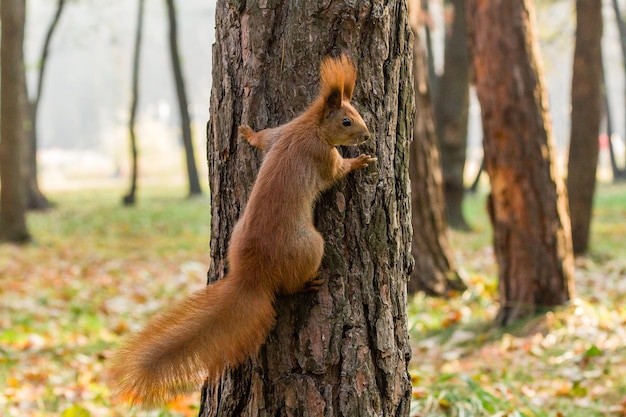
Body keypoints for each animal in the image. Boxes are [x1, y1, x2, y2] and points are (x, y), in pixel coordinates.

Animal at [106, 52, 376, 406]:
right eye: (346, 121)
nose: (367, 135)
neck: (308, 127)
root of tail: (252, 275)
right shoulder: (322, 157)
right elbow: (336, 172)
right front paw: (359, 162)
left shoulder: (280, 132)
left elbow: (264, 138)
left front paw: (247, 132)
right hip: (310, 246)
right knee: (290, 286)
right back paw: (309, 283)